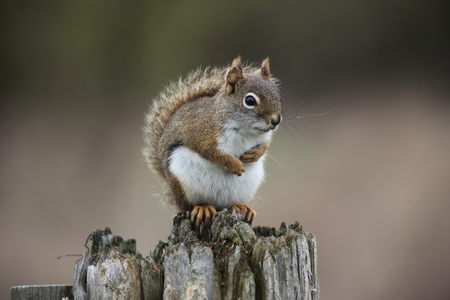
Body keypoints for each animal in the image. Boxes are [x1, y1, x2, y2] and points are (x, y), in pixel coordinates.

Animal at [142, 56, 282, 226]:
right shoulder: (202, 134)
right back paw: (203, 208)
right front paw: (233, 163)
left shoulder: (264, 137)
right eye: (250, 100)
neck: (246, 129)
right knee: (190, 206)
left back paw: (241, 207)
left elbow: (265, 145)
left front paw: (255, 154)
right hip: (184, 184)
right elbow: (211, 152)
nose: (276, 120)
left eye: (278, 96)